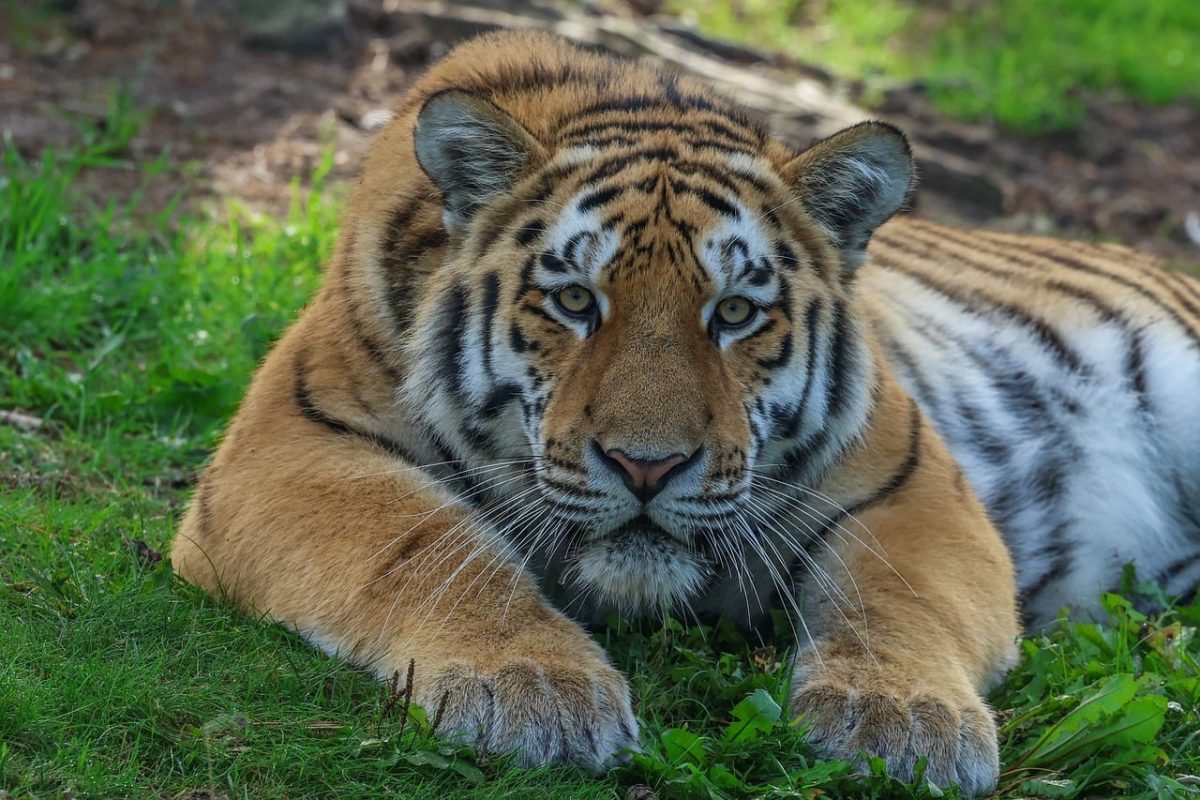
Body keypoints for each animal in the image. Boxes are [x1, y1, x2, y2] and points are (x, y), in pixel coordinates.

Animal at [170, 31, 1200, 795]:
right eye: (574, 301)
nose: (647, 466)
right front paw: (534, 689)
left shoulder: (914, 479)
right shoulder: (291, 442)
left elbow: (895, 595)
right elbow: (425, 549)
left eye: (735, 313)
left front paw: (904, 721)